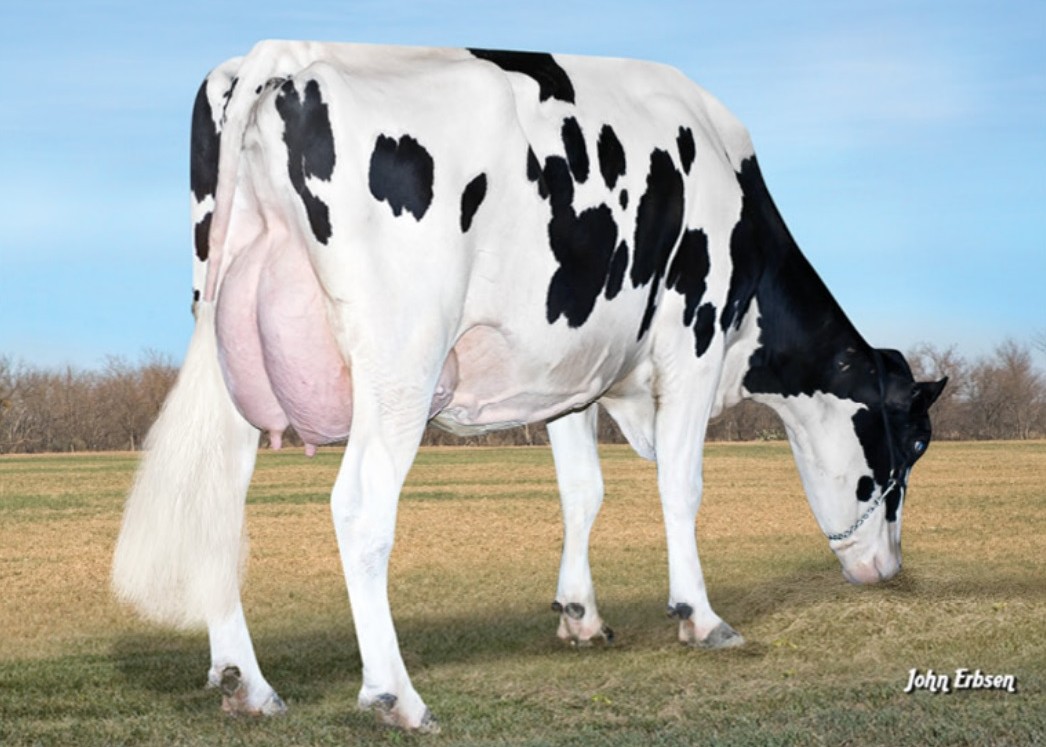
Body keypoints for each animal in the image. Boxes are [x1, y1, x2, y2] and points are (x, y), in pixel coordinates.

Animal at [114, 40, 949, 728]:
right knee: (359, 509)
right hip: (401, 360)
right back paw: (396, 695)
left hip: (230, 357)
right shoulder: (693, 337)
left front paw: (581, 613)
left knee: (217, 505)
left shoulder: (568, 369)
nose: (888, 569)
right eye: (908, 450)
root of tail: (285, 58)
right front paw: (701, 616)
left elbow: (583, 490)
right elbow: (681, 485)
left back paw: (246, 682)